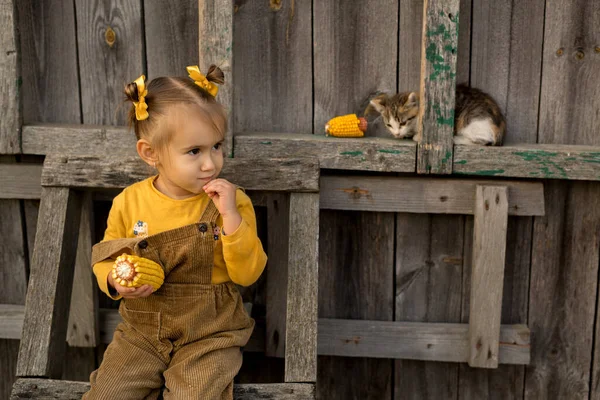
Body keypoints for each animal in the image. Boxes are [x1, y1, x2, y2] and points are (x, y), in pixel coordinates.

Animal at [366, 83, 506, 146]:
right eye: (389, 125)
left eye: (403, 122)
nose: (396, 134)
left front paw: (417, 136)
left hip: (471, 120)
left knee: (484, 139)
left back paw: (454, 139)